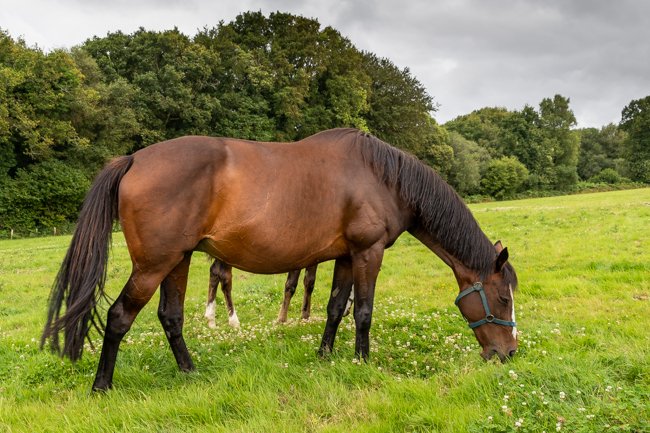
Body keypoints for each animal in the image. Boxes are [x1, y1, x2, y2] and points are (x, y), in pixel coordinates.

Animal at [204, 261, 354, 328]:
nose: (346, 311)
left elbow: (309, 282)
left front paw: (305, 315)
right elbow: (292, 284)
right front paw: (282, 318)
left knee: (214, 272)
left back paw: (211, 321)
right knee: (224, 278)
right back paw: (233, 320)